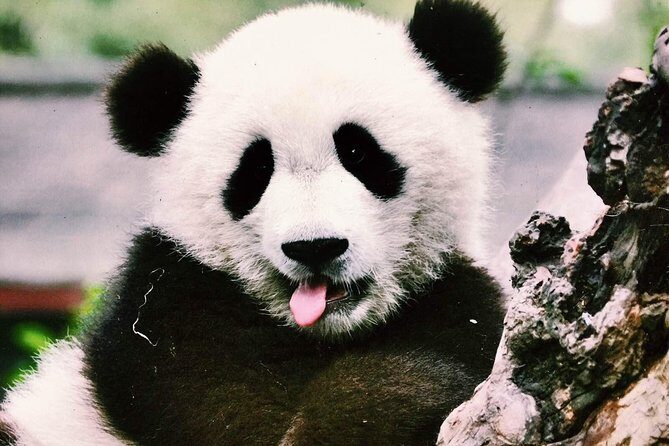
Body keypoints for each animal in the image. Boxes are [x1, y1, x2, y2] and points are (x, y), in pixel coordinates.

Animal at [0, 0, 506, 444]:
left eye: (358, 152)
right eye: (256, 170)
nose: (314, 246)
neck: (329, 334)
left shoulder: (456, 300)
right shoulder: (172, 318)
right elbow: (238, 425)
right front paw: (404, 394)